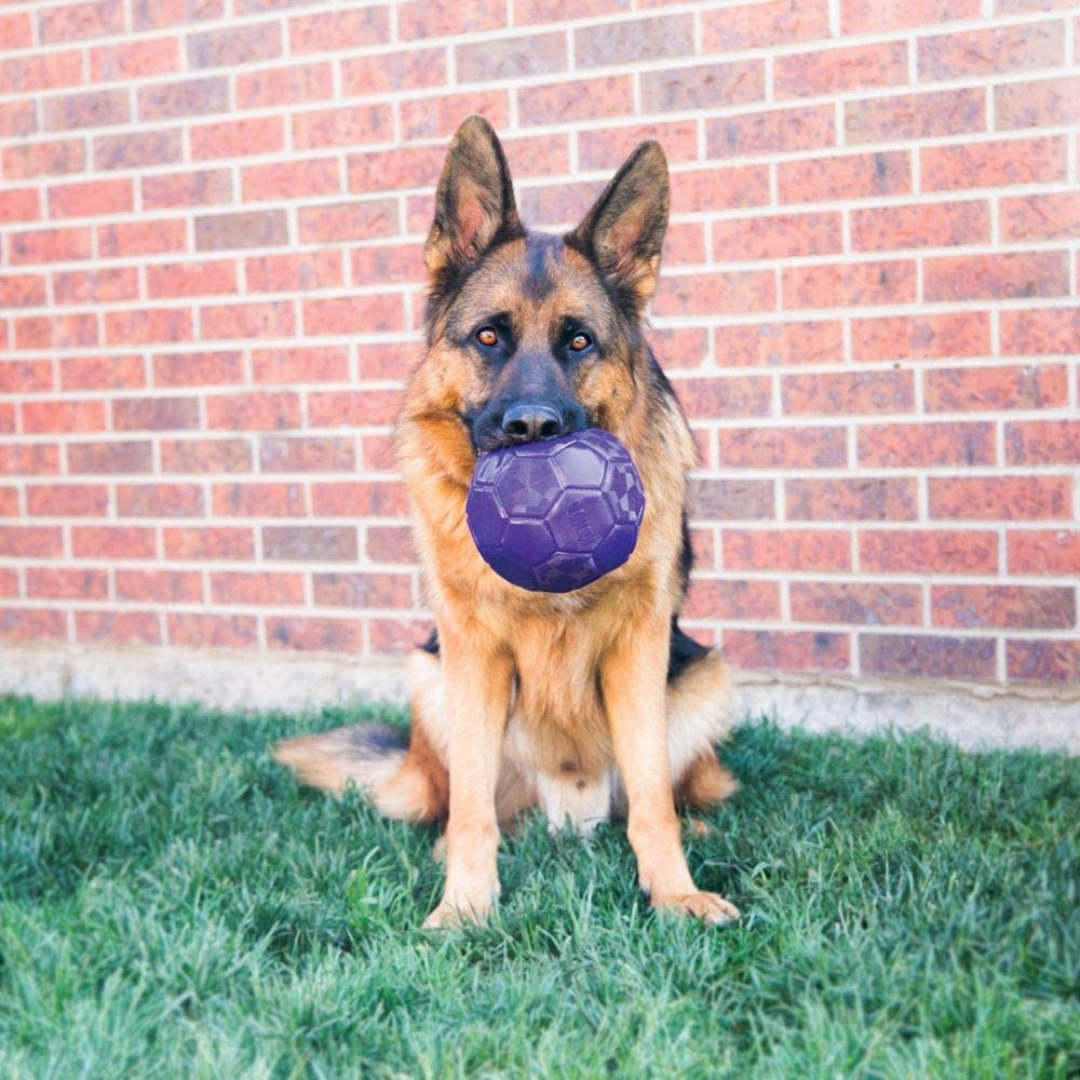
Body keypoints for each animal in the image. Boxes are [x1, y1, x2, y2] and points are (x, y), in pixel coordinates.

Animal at [274, 116, 738, 928]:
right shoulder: (472, 653)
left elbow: (653, 798)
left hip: (703, 679)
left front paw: (674, 892)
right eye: (489, 337)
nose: (532, 429)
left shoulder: (640, 646)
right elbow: (470, 808)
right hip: (430, 677)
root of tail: (570, 810)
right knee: (465, 801)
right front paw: (465, 906)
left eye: (579, 341)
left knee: (658, 796)